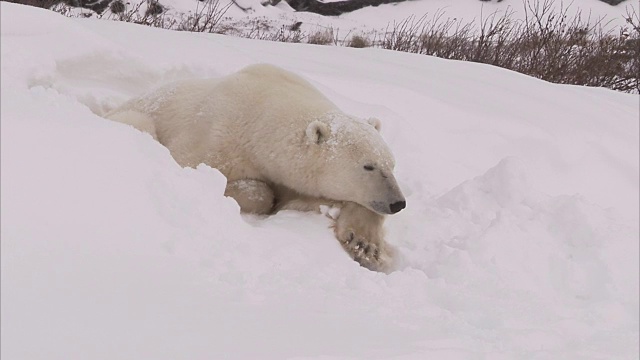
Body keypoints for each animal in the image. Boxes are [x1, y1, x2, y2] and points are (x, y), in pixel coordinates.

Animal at [105, 64, 404, 272]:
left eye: (391, 164)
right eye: (368, 166)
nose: (398, 203)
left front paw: (365, 244)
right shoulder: (214, 137)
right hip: (134, 116)